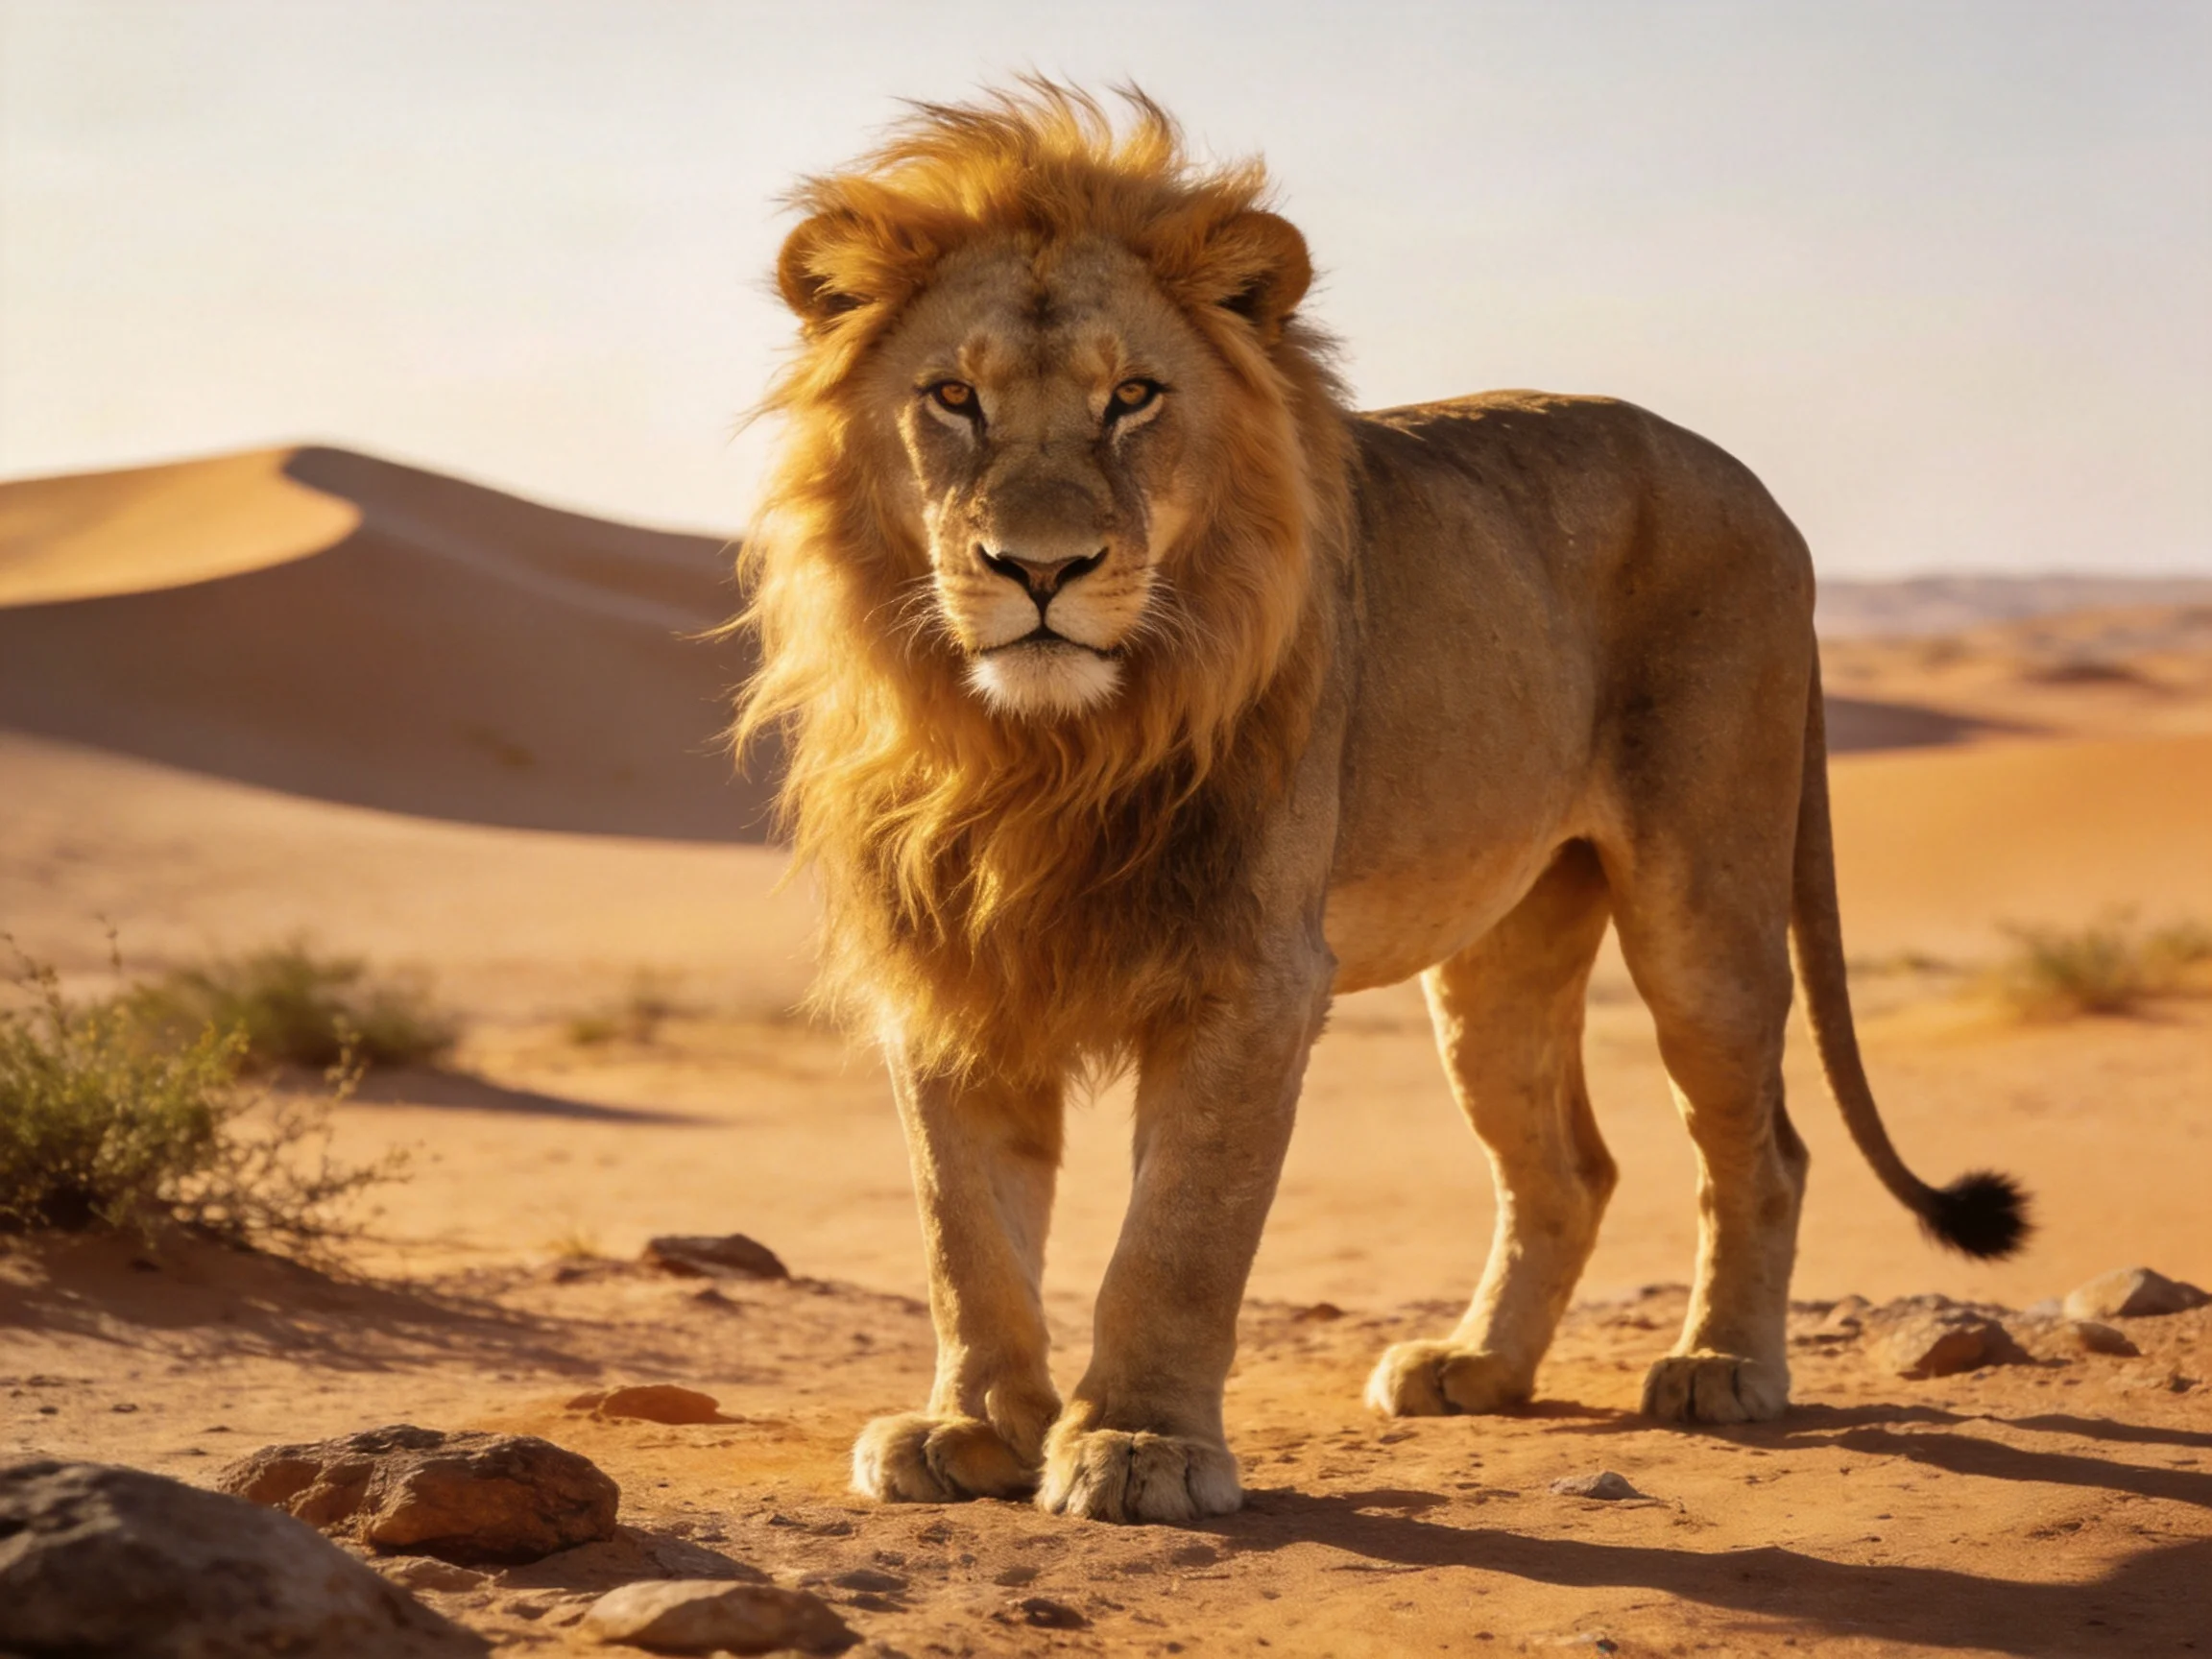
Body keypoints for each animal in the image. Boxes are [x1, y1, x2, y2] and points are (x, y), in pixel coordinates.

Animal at [732, 83, 2028, 1526]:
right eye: (953, 398)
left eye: (1133, 397)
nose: (1042, 569)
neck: (1040, 750)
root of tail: (1762, 493)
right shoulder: (950, 967)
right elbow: (965, 1231)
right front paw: (967, 1429)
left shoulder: (1254, 972)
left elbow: (1177, 1236)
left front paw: (1139, 1444)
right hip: (1500, 952)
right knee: (1566, 1166)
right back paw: (1478, 1367)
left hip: (1706, 902)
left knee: (1762, 1144)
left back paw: (1722, 1367)